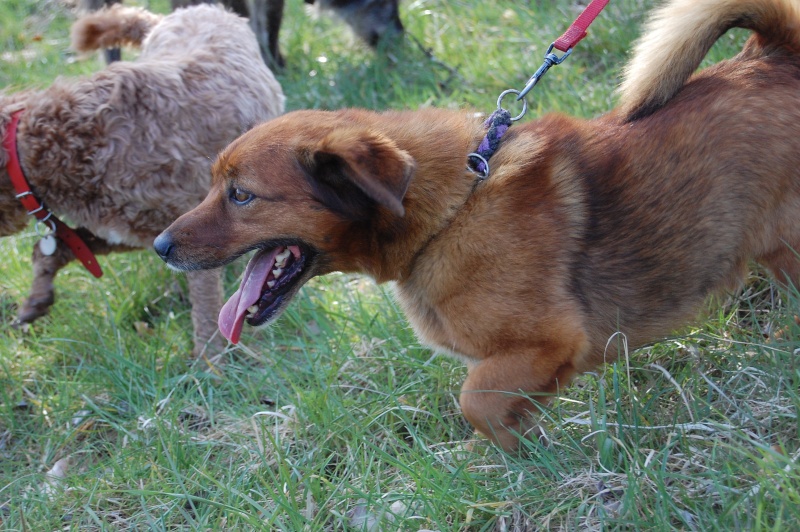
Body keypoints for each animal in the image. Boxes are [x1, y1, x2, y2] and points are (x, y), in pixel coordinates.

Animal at [0, 5, 284, 358]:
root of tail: (195, 9)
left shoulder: (192, 229)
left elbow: (207, 313)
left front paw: (211, 364)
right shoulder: (132, 230)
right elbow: (51, 249)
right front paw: (34, 302)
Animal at [155, 0, 800, 448]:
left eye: (242, 196)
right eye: (213, 185)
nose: (160, 245)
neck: (454, 208)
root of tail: (773, 55)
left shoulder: (546, 343)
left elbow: (475, 402)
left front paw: (524, 452)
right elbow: (499, 408)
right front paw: (523, 449)